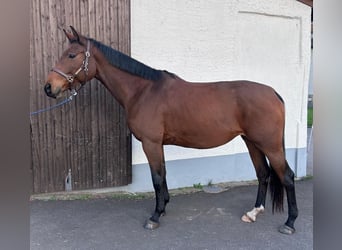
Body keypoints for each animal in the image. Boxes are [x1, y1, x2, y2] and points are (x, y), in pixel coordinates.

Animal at [44, 27, 296, 234]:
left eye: (71, 55)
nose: (49, 87)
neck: (143, 91)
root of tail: (273, 93)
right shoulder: (158, 144)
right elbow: (163, 175)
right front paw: (163, 207)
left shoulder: (151, 143)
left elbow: (156, 178)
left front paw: (154, 217)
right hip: (251, 142)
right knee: (263, 174)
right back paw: (253, 213)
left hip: (270, 145)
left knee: (287, 176)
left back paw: (289, 223)